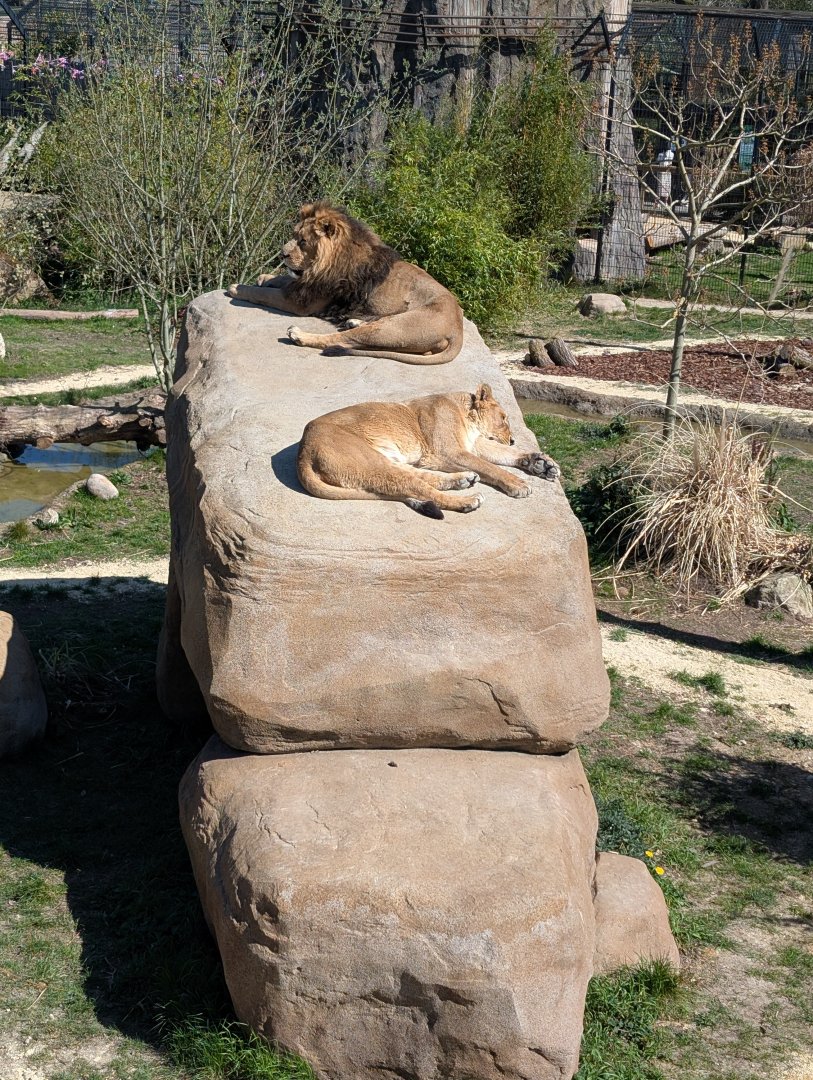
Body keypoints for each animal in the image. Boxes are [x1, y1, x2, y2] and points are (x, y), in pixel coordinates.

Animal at [227, 202, 464, 365]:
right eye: (293, 235)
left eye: (303, 241)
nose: (282, 254)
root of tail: (458, 330)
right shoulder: (306, 284)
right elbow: (286, 279)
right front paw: (265, 278)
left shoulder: (301, 302)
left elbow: (263, 295)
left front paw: (237, 288)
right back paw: (354, 321)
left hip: (394, 327)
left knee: (341, 340)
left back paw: (300, 335)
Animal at [297, 383, 560, 519]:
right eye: (504, 418)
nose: (513, 440)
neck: (465, 413)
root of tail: (303, 451)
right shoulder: (449, 452)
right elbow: (491, 467)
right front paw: (518, 483)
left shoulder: (470, 444)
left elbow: (500, 455)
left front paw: (539, 463)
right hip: (371, 462)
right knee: (418, 488)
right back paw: (468, 500)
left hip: (387, 461)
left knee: (419, 479)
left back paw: (464, 480)